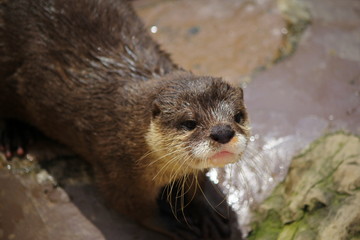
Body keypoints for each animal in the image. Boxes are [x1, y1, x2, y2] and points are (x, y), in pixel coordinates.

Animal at [0, 0, 249, 238]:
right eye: (189, 123)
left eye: (238, 116)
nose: (223, 132)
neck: (128, 132)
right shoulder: (117, 171)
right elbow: (133, 208)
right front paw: (177, 225)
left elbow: (195, 183)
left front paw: (207, 212)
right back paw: (13, 136)